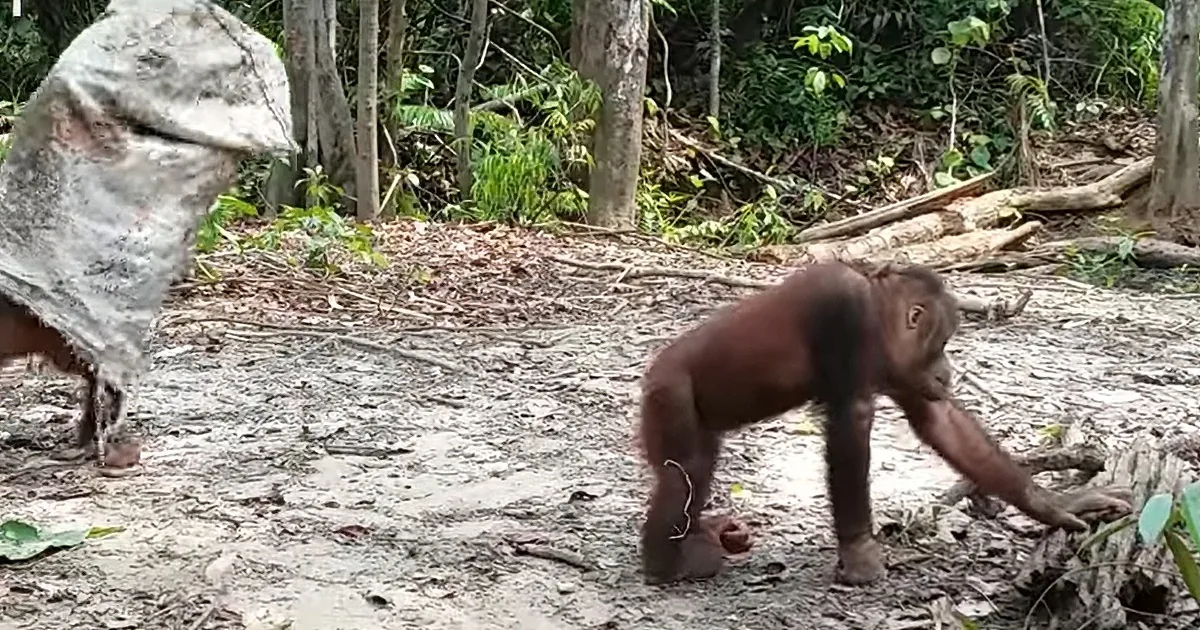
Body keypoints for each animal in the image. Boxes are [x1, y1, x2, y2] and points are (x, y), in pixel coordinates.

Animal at [637, 261, 1132, 586]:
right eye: (943, 342)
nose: (947, 371)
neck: (877, 307)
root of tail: (653, 370)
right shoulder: (847, 316)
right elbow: (851, 424)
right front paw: (860, 556)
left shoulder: (903, 371)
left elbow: (941, 421)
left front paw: (1060, 501)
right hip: (668, 393)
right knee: (685, 470)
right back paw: (668, 564)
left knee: (698, 467)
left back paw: (709, 532)